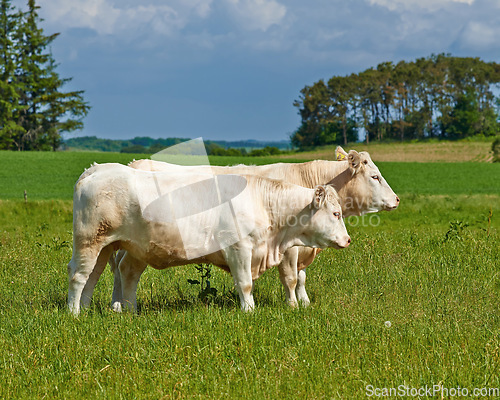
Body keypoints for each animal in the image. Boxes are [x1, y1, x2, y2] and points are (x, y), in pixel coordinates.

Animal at [68, 162, 350, 316]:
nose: (348, 240)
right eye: (336, 213)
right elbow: (245, 284)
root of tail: (96, 170)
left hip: (114, 247)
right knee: (79, 275)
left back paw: (107, 309)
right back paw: (74, 313)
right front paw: (249, 310)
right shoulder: (239, 249)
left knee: (104, 275)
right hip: (89, 241)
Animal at [108, 145, 398, 310]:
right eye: (375, 176)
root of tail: (136, 163)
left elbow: (302, 277)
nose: (396, 199)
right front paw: (293, 305)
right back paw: (119, 305)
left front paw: (304, 302)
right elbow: (291, 277)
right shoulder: (290, 247)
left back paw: (118, 305)